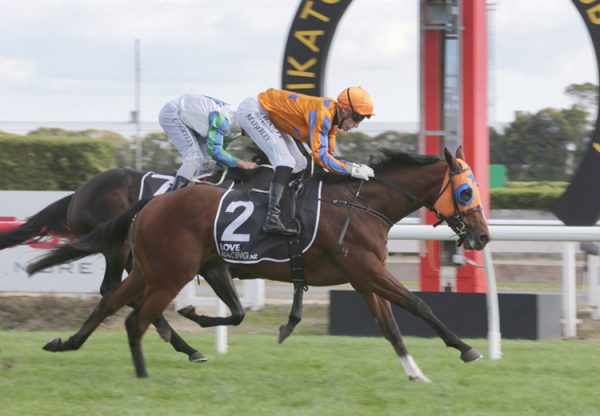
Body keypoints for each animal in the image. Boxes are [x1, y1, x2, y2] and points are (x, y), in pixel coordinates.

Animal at [36, 148, 488, 382]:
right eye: (466, 191)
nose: (482, 236)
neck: (359, 204)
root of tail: (151, 203)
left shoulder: (362, 277)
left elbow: (390, 325)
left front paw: (415, 372)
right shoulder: (367, 270)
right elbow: (417, 304)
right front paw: (467, 349)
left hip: (152, 269)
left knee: (109, 302)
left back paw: (66, 343)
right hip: (168, 272)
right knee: (133, 314)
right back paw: (150, 363)